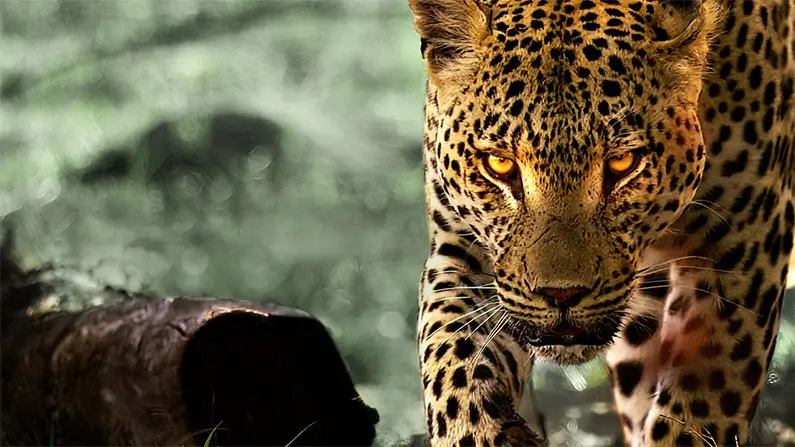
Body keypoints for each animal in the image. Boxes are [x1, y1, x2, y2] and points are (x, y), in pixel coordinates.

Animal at [408, 0, 794, 445]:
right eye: (499, 164)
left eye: (623, 163)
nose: (562, 295)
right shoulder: (464, 247)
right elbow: (453, 353)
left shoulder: (743, 244)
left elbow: (701, 403)